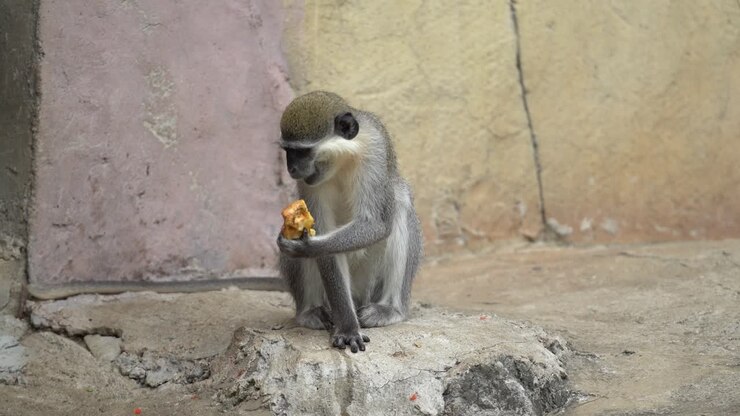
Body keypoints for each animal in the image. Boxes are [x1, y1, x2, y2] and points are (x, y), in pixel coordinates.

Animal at [276, 91, 423, 353]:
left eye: (302, 152)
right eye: (287, 151)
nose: (291, 168)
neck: (343, 159)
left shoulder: (375, 150)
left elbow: (375, 224)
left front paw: (307, 246)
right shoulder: (311, 183)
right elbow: (325, 240)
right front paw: (347, 328)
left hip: (372, 284)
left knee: (400, 201)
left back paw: (390, 309)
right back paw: (311, 312)